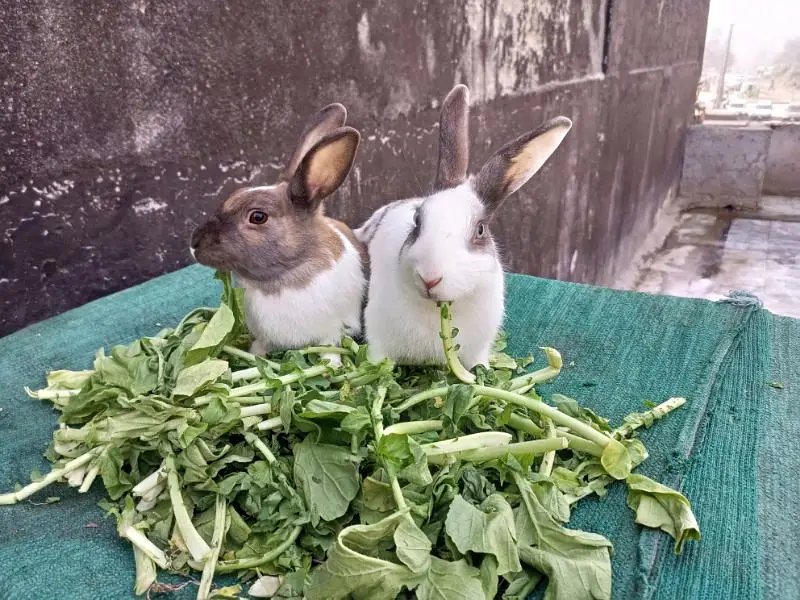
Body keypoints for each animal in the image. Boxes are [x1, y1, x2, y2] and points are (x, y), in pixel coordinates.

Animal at [191, 103, 368, 365]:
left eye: (258, 217)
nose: (194, 242)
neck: (282, 278)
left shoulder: (333, 331)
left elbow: (330, 350)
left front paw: (331, 367)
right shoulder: (265, 336)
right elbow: (260, 347)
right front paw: (255, 358)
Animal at [355, 84, 572, 370]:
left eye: (480, 230)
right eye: (417, 220)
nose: (429, 278)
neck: (440, 308)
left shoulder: (478, 348)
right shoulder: (378, 342)